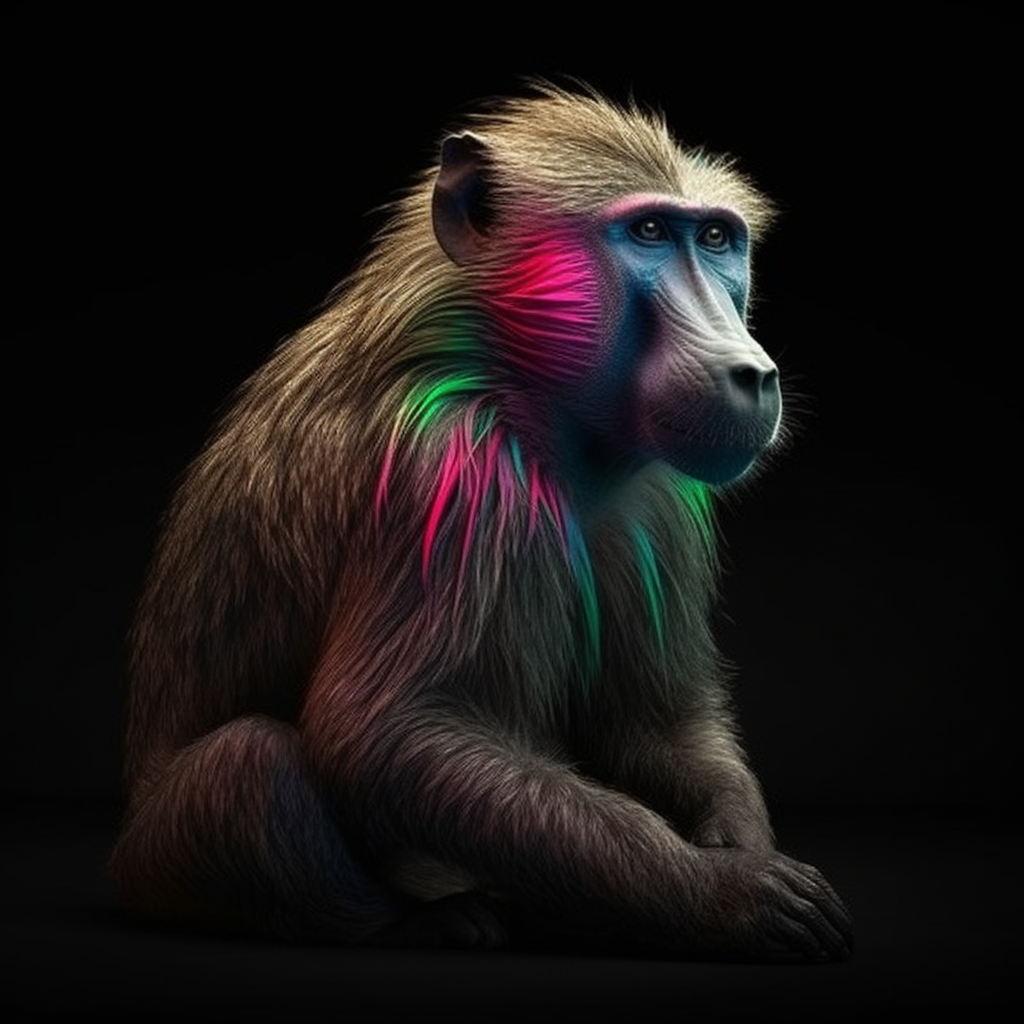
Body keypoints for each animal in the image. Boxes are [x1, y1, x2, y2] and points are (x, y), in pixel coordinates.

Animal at [110, 84, 852, 961]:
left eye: (714, 239)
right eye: (646, 233)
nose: (751, 373)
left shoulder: (661, 497)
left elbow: (654, 721)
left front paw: (737, 844)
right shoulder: (453, 473)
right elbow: (394, 734)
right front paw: (723, 895)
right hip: (159, 861)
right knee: (252, 769)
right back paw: (423, 920)